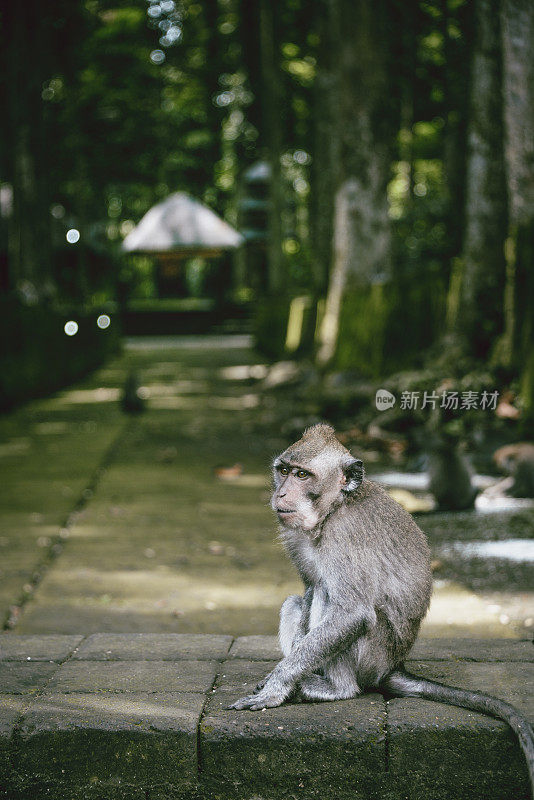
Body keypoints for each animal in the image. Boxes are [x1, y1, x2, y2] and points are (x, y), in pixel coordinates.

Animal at [230, 424, 534, 792]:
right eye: (284, 471)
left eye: (303, 475)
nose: (282, 494)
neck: (334, 509)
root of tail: (393, 665)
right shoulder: (295, 536)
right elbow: (309, 588)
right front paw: (283, 676)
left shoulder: (346, 536)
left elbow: (352, 612)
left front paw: (278, 687)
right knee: (300, 599)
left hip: (372, 655)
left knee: (335, 602)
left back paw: (337, 689)